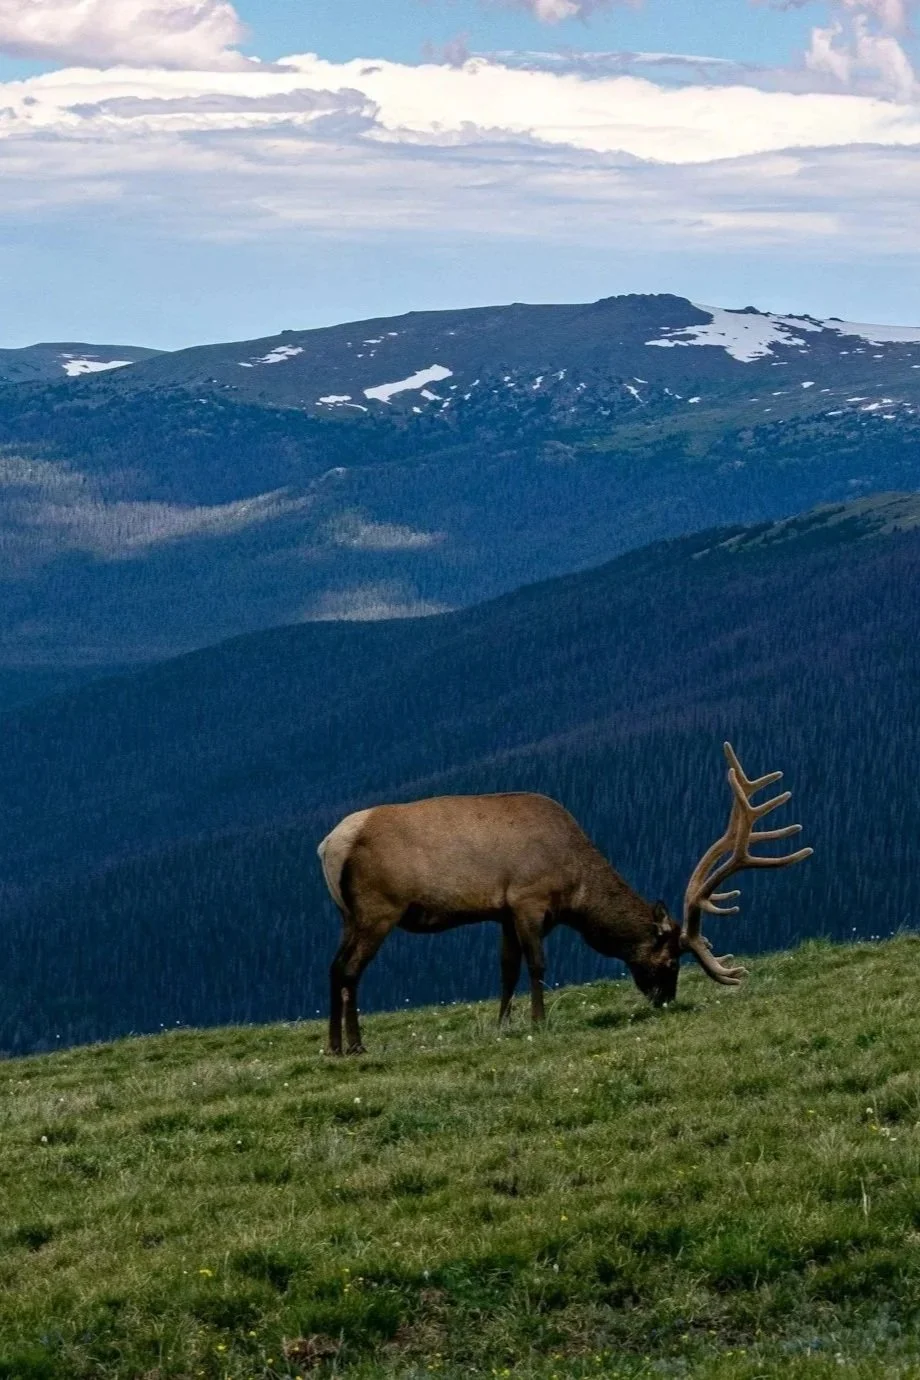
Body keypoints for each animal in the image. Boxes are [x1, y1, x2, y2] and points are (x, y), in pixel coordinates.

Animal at [317, 743, 812, 1054]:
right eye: (671, 960)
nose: (665, 1000)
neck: (576, 889)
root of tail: (330, 845)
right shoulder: (528, 900)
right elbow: (538, 965)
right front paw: (539, 1021)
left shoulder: (503, 912)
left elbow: (506, 971)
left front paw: (503, 1024)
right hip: (379, 909)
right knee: (351, 970)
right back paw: (356, 1044)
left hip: (347, 915)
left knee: (335, 968)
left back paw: (335, 1045)